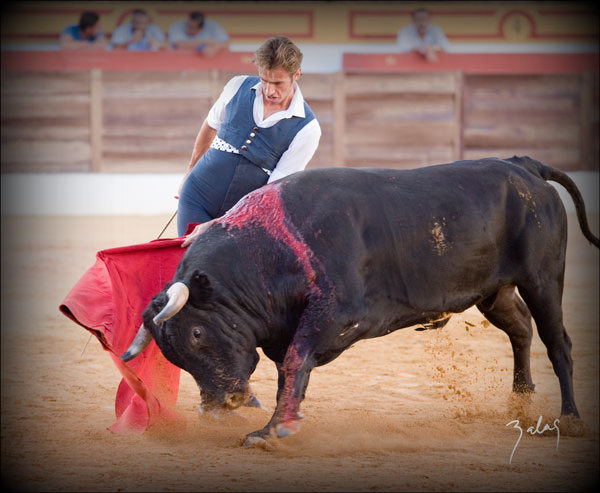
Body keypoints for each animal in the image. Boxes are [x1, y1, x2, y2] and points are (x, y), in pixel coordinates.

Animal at [120, 158, 596, 446]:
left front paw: (272, 431)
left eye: (197, 333)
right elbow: (289, 371)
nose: (223, 403)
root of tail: (522, 165)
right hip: (494, 292)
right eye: (173, 355)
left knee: (558, 342)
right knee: (521, 328)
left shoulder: (339, 314)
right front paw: (277, 424)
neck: (272, 249)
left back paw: (569, 418)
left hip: (542, 278)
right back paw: (521, 399)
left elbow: (296, 360)